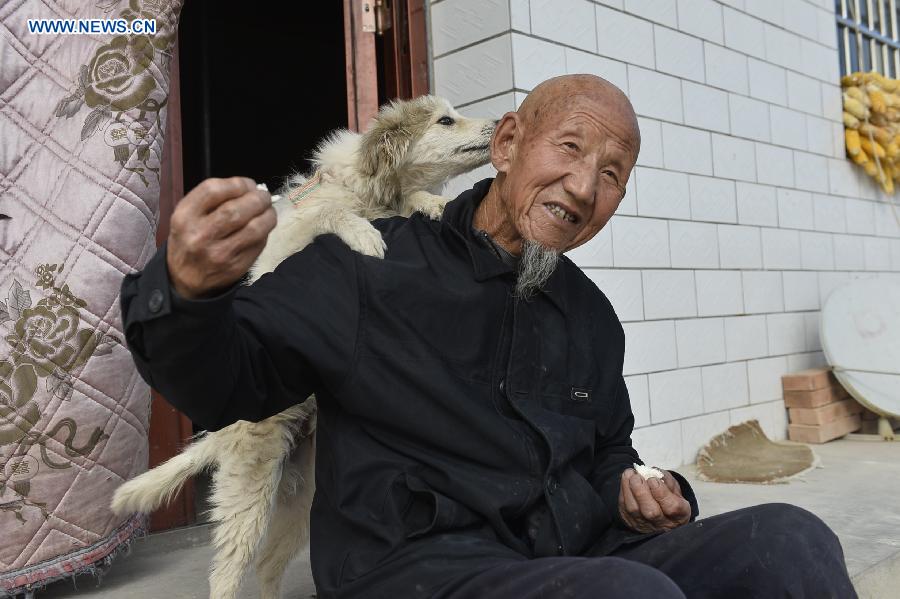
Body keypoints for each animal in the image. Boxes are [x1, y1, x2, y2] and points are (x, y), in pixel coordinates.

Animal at [113, 95, 496, 599]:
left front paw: (433, 202)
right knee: (227, 572)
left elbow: (409, 201)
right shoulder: (294, 240)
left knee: (268, 565)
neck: (369, 188)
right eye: (446, 120)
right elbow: (327, 216)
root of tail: (217, 435)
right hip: (249, 488)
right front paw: (365, 234)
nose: (501, 122)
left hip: (304, 500)